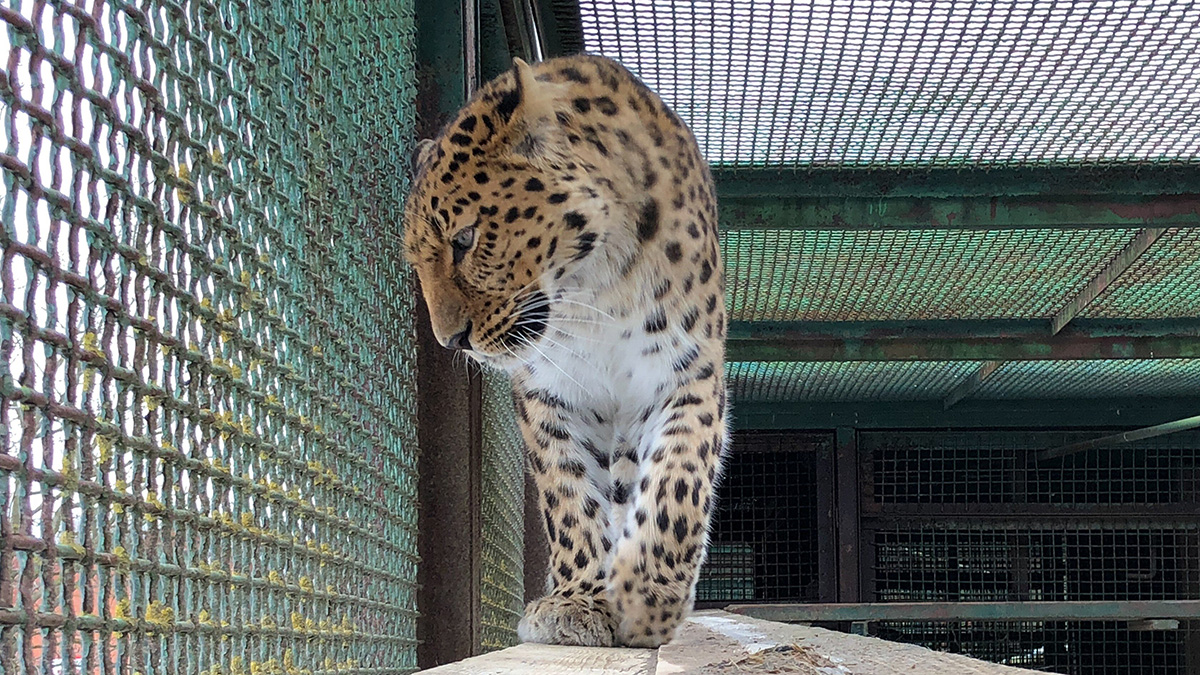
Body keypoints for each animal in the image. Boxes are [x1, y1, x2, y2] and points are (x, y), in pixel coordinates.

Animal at [403, 53, 724, 648]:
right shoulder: (550, 392)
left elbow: (678, 477)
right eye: (417, 261)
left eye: (465, 240)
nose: (449, 339)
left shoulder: (685, 374)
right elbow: (569, 495)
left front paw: (649, 598)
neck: (596, 289)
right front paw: (577, 601)